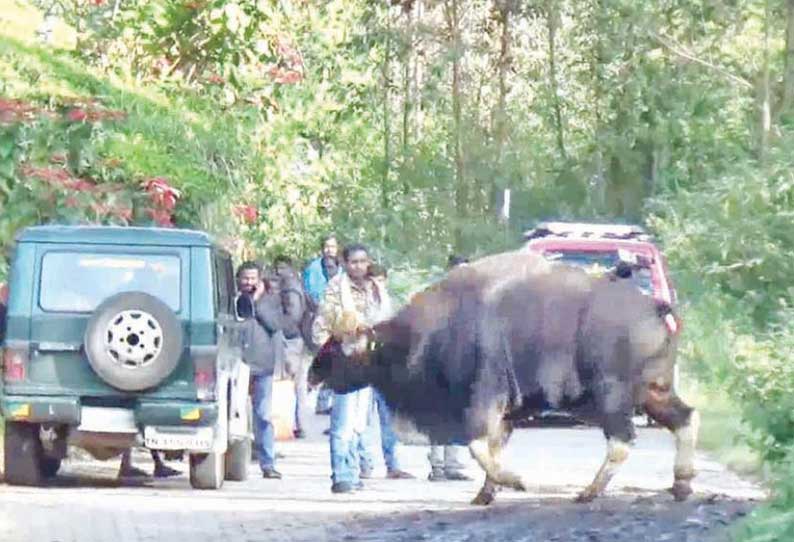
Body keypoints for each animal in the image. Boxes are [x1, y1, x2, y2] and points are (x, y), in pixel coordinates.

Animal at [306, 253, 696, 508]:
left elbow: (477, 446)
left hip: (612, 397)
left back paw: (590, 492)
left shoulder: (484, 401)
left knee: (621, 441)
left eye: (338, 347)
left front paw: (515, 481)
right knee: (685, 418)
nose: (312, 372)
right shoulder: (503, 414)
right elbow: (491, 449)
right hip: (654, 392)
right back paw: (681, 483)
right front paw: (486, 493)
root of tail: (655, 307)